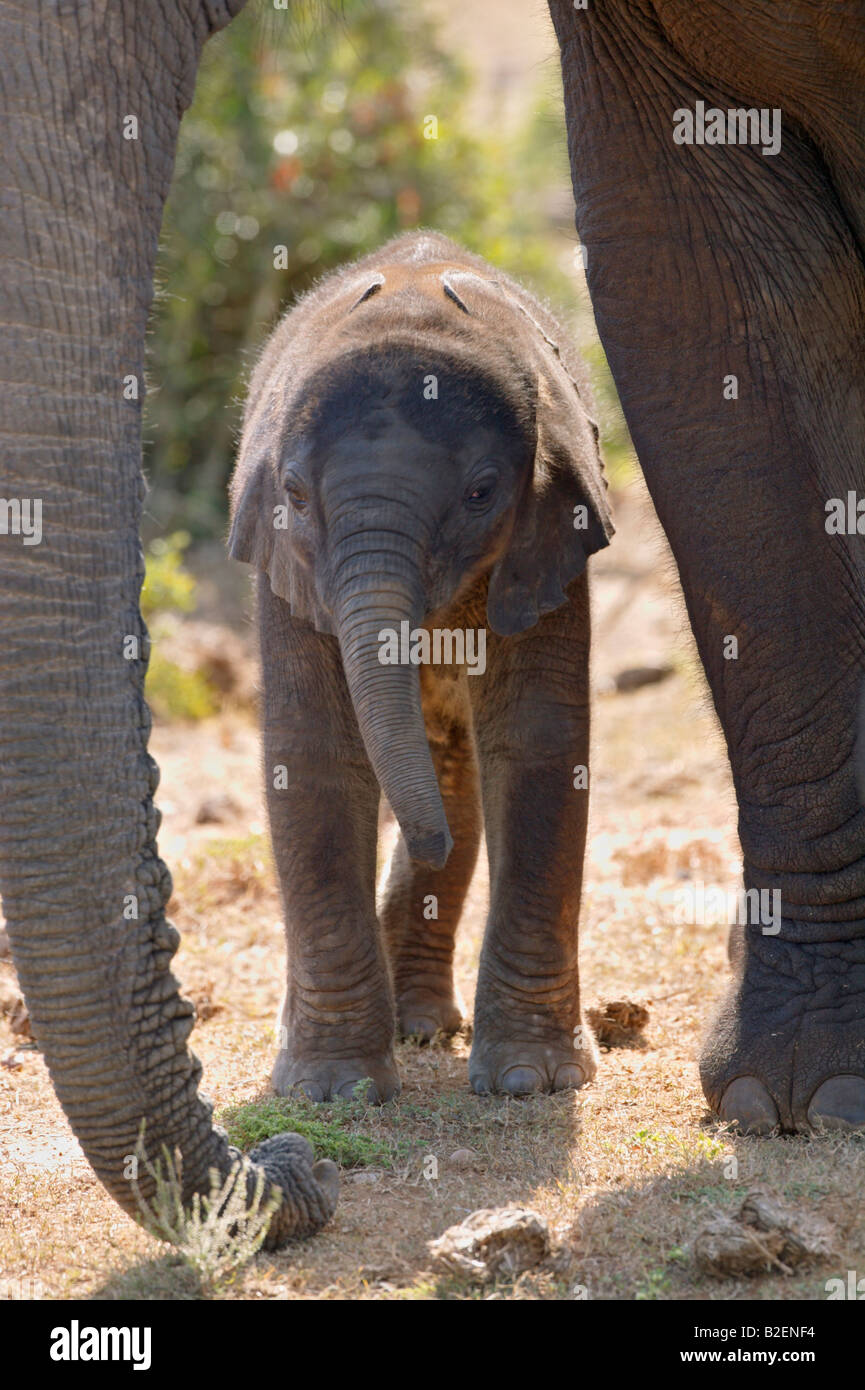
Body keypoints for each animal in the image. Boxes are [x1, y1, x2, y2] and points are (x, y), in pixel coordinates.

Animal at [226, 233, 614, 1100]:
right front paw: (331, 1090)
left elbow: (537, 742)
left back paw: (424, 1026)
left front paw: (532, 1081)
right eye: (295, 495)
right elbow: (312, 752)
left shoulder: (552, 538)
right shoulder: (286, 564)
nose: (421, 842)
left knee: (455, 767)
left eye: (481, 493)